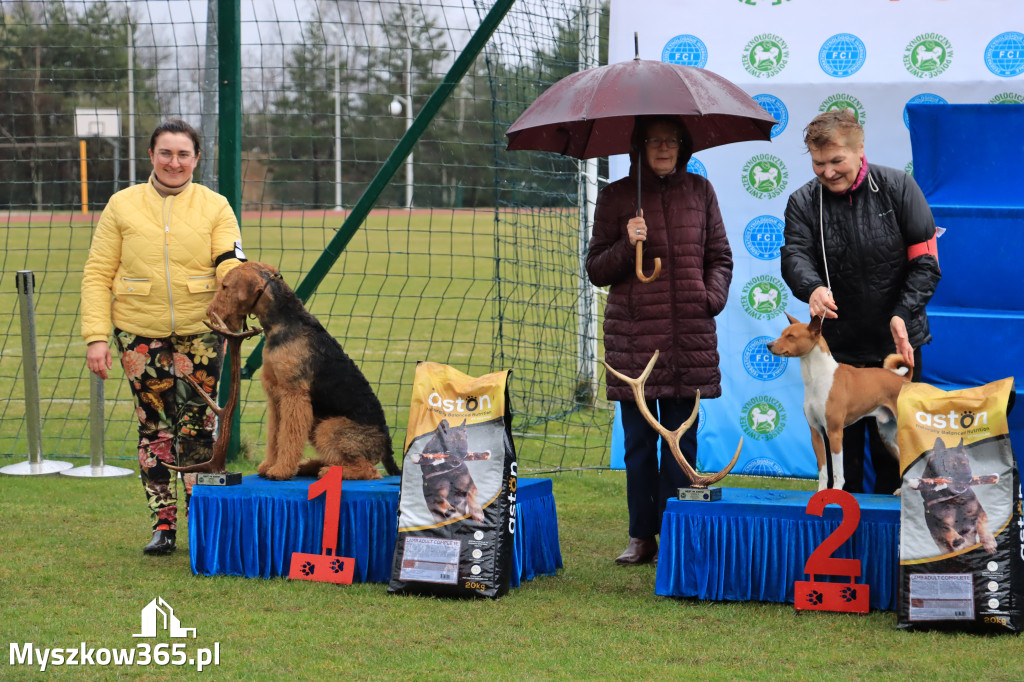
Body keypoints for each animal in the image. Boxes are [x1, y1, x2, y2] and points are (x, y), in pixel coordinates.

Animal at [207, 260, 399, 477]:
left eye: (225, 286)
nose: (209, 313)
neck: (285, 321)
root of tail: (386, 446)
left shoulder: (294, 394)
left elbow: (288, 436)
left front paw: (280, 470)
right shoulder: (275, 396)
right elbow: (275, 435)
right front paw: (268, 465)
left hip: (327, 428)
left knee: (368, 469)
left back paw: (327, 471)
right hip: (317, 424)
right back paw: (310, 466)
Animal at [770, 313, 913, 489]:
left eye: (791, 336)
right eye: (782, 333)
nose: (769, 345)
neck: (818, 378)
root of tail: (904, 380)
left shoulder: (834, 432)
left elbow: (838, 472)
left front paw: (836, 491)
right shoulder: (816, 432)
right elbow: (823, 471)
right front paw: (821, 492)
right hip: (888, 436)